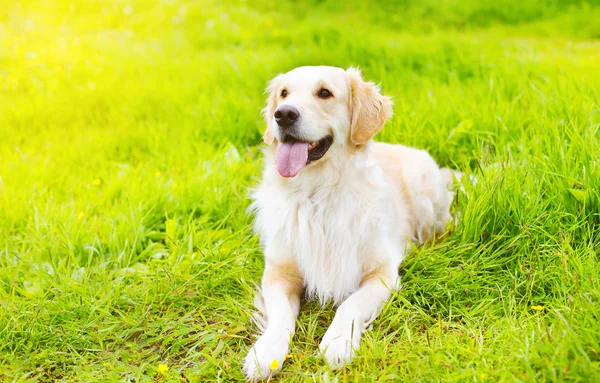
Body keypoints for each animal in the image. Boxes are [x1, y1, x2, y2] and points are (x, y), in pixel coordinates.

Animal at [244, 65, 460, 380]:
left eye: (324, 93)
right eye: (284, 93)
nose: (283, 114)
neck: (318, 196)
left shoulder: (383, 273)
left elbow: (350, 304)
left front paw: (337, 342)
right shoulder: (278, 274)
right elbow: (280, 317)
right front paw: (265, 352)